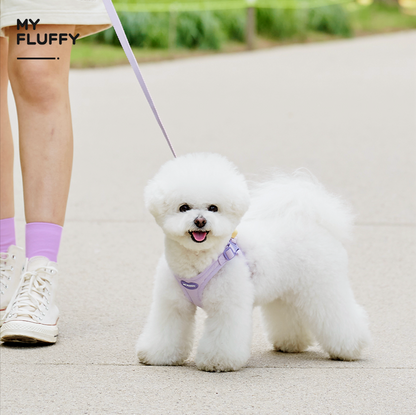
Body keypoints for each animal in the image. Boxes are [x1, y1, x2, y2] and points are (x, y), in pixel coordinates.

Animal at [136, 153, 370, 374]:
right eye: (184, 207)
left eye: (214, 208)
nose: (200, 221)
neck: (199, 261)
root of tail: (312, 223)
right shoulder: (172, 305)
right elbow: (167, 330)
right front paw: (159, 355)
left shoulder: (227, 306)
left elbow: (223, 336)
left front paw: (217, 361)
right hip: (286, 292)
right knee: (289, 315)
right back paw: (291, 343)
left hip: (324, 288)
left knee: (340, 315)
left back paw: (352, 348)